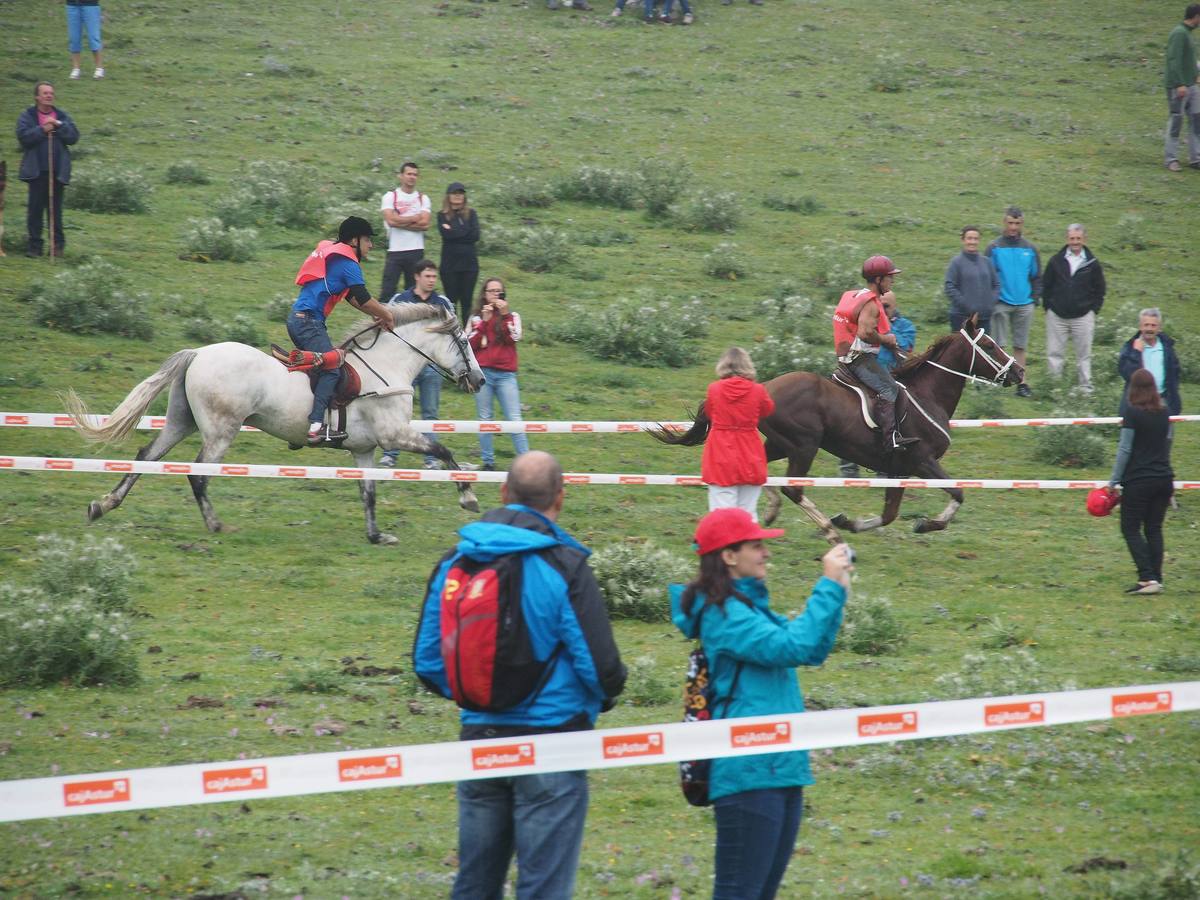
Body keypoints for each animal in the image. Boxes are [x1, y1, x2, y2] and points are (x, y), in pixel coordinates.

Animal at [65, 303, 484, 547]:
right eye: (465, 342)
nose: (479, 381)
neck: (387, 366)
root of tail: (198, 352)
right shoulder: (394, 435)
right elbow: (444, 450)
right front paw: (468, 496)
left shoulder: (364, 449)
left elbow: (368, 493)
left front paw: (376, 535)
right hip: (221, 431)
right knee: (197, 475)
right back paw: (216, 526)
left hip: (181, 422)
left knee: (146, 456)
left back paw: (104, 504)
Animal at [657, 316, 1022, 542]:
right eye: (990, 345)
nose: (1018, 371)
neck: (927, 395)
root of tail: (763, 388)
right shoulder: (921, 461)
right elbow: (957, 493)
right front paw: (927, 524)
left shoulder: (898, 469)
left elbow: (889, 514)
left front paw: (851, 522)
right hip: (804, 445)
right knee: (792, 489)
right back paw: (825, 530)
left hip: (782, 444)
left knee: (760, 473)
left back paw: (773, 513)